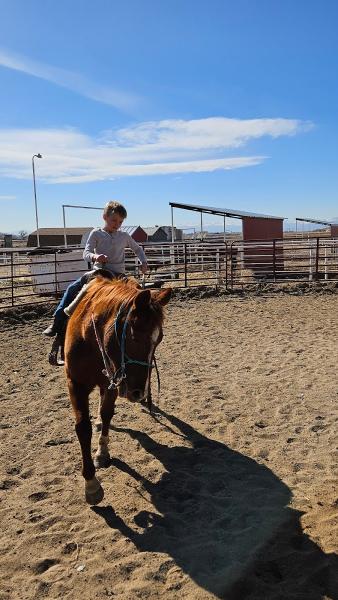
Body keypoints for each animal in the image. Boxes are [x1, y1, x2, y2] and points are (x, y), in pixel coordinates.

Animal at [64, 276, 172, 506]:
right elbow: (82, 428)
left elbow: (106, 414)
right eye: (134, 336)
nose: (139, 393)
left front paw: (102, 452)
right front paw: (91, 484)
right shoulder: (75, 383)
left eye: (159, 339)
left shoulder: (113, 380)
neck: (91, 340)